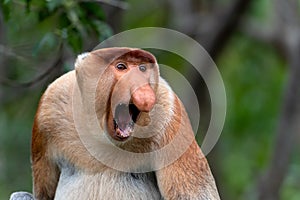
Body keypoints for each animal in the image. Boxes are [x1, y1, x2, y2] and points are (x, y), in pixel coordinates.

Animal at [9, 47, 220, 199]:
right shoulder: (50, 105)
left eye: (142, 69)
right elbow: (42, 194)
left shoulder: (169, 111)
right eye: (121, 67)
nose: (141, 87)